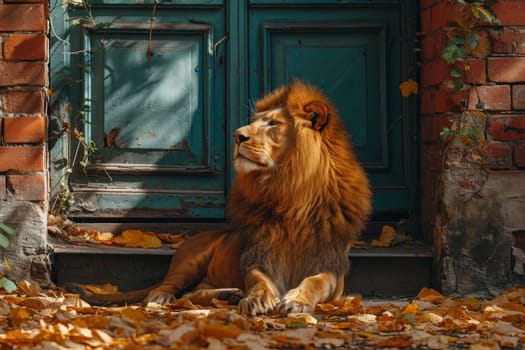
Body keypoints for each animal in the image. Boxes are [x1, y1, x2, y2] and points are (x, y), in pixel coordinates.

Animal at [71, 80, 370, 316]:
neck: (289, 194)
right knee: (172, 289)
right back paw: (166, 297)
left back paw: (229, 294)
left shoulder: (332, 268)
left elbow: (314, 282)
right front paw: (257, 299)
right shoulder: (257, 256)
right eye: (254, 122)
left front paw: (296, 301)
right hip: (191, 259)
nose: (237, 135)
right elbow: (260, 281)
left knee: (191, 295)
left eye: (273, 123)